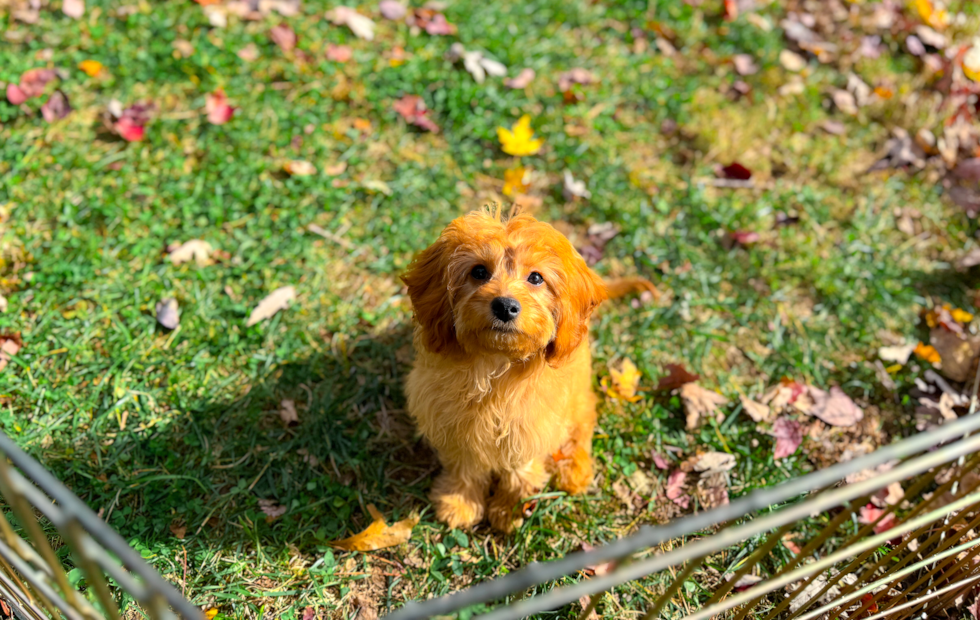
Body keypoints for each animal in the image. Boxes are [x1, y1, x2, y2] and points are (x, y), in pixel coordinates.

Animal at [402, 208, 656, 532]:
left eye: (536, 278)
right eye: (479, 272)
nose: (505, 306)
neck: (497, 367)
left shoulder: (532, 422)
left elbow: (520, 467)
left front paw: (511, 508)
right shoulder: (454, 421)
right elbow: (465, 463)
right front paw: (459, 502)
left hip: (577, 396)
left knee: (585, 420)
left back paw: (575, 469)